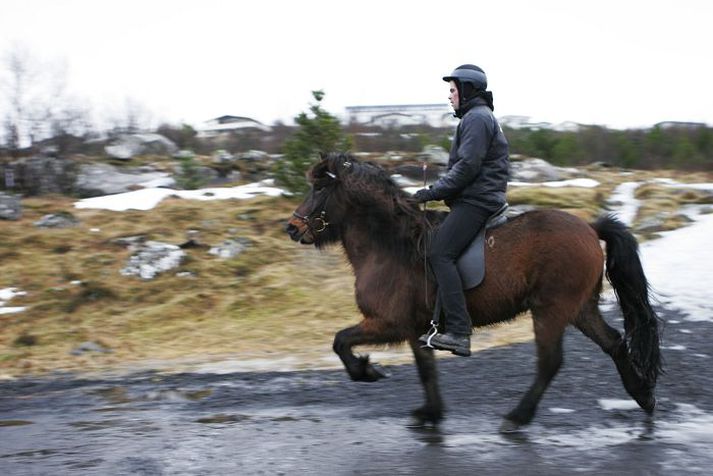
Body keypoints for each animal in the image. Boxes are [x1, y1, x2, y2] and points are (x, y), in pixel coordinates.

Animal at [284, 153, 660, 432]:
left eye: (319, 187)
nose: (292, 227)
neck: (392, 247)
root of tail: (589, 227)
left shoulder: (388, 323)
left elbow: (340, 341)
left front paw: (366, 371)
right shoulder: (416, 330)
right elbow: (425, 369)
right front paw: (430, 412)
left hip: (550, 311)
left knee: (550, 362)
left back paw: (517, 417)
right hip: (580, 308)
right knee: (614, 343)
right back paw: (643, 396)